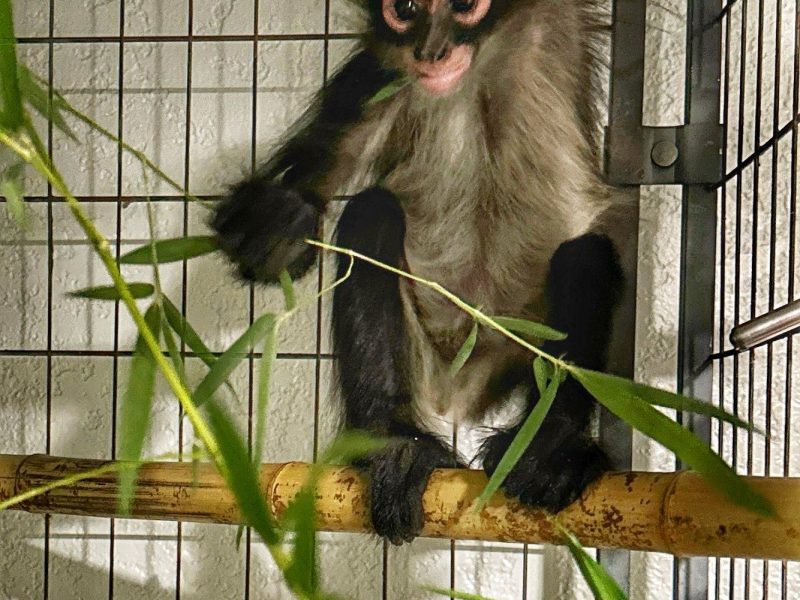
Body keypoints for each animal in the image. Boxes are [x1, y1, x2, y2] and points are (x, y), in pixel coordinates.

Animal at [212, 0, 624, 545]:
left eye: (465, 7)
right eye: (405, 10)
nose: (431, 51)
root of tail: (463, 388)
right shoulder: (384, 71)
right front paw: (280, 219)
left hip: (519, 348)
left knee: (585, 254)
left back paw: (550, 443)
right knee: (372, 215)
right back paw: (396, 445)